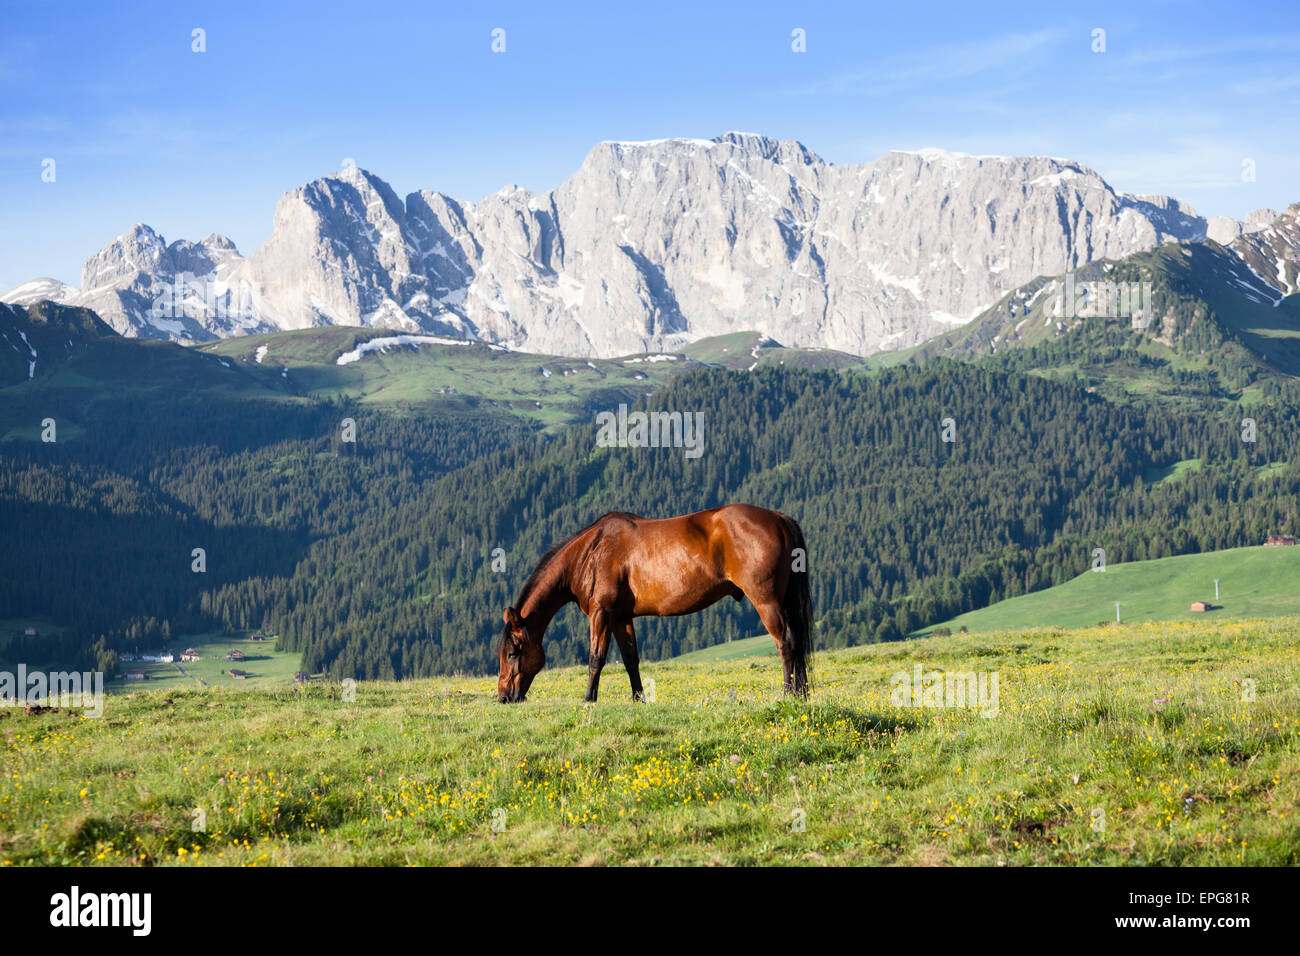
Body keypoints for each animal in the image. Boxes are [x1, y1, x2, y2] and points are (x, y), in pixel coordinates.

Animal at [497, 503, 812, 703]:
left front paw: (589, 699)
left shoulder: (601, 613)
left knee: (785, 642)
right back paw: (802, 693)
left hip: (766, 601)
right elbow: (630, 660)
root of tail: (778, 519)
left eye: (512, 653)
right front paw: (639, 699)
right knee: (796, 642)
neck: (591, 552)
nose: (503, 697)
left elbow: (596, 658)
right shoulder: (621, 617)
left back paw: (788, 693)